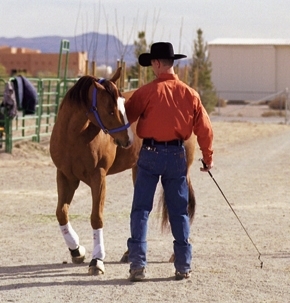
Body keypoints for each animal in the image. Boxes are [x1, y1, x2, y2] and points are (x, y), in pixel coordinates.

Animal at [49, 68, 196, 276]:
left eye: (123, 107)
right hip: (138, 172)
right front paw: (77, 251)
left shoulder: (98, 178)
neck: (73, 137)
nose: (128, 139)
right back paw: (128, 253)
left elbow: (96, 217)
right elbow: (61, 213)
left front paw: (97, 260)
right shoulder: (65, 176)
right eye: (110, 110)